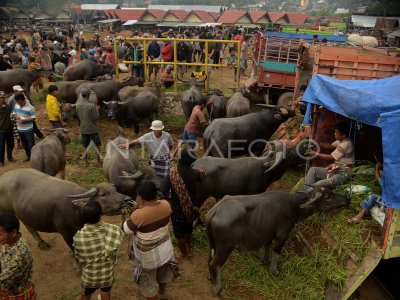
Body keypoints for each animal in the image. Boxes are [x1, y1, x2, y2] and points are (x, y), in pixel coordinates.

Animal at [0, 169, 130, 248]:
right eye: (103, 194)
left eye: (115, 190)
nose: (127, 199)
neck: (77, 210)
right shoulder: (66, 234)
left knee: (29, 226)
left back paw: (42, 244)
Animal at [206, 186, 350, 294]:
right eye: (327, 196)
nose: (347, 198)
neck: (294, 206)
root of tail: (215, 210)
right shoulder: (282, 236)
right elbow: (276, 252)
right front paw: (274, 271)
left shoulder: (268, 235)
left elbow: (267, 247)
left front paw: (265, 261)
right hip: (225, 247)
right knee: (215, 264)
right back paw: (219, 290)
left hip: (213, 244)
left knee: (209, 260)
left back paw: (211, 279)